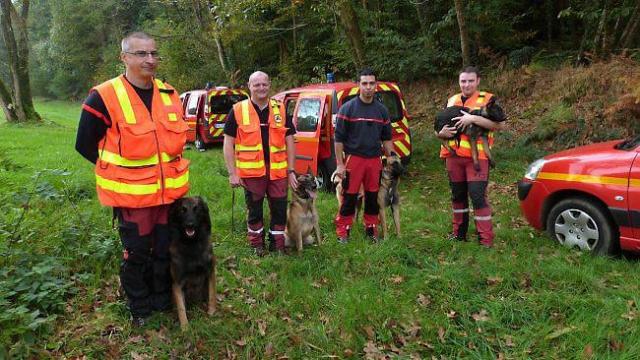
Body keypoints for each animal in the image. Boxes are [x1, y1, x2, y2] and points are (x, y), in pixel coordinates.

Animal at [169, 197, 216, 330]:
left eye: (196, 209)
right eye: (182, 210)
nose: (190, 224)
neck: (191, 244)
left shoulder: (210, 272)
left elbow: (212, 295)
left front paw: (212, 312)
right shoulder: (177, 282)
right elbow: (181, 307)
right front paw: (185, 327)